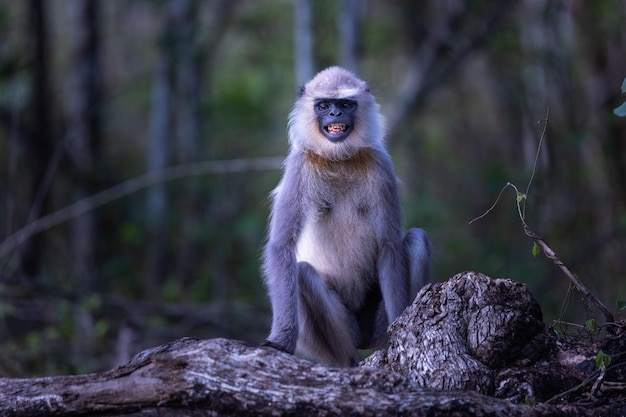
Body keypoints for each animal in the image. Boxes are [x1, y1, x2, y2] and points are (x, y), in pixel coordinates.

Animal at [258, 66, 428, 366]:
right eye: (324, 105)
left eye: (346, 105)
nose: (336, 114)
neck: (339, 159)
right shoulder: (300, 165)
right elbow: (282, 247)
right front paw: (282, 340)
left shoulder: (380, 165)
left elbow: (390, 245)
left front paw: (402, 328)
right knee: (302, 273)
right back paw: (349, 362)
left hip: (376, 329)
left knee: (416, 239)